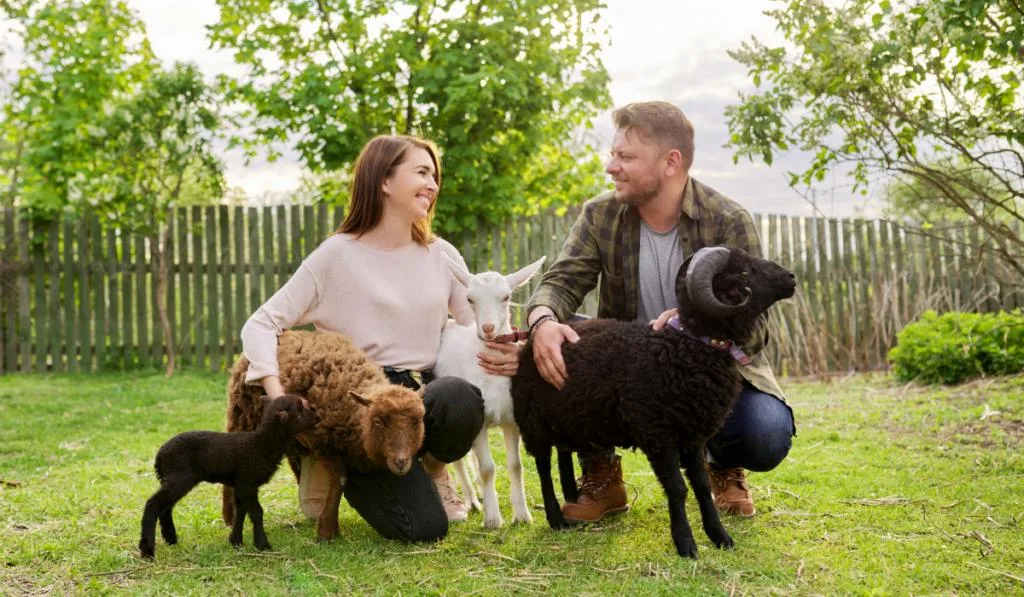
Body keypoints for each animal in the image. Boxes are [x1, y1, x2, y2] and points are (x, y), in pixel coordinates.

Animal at [138, 395, 315, 557]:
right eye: (299, 414)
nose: (316, 416)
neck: (262, 445)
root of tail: (159, 456)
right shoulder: (247, 482)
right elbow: (257, 512)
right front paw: (262, 544)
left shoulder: (241, 485)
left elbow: (241, 511)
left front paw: (236, 541)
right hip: (179, 478)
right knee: (153, 503)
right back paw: (147, 550)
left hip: (173, 479)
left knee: (166, 507)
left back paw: (171, 539)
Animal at [224, 329, 428, 544]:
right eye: (378, 421)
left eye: (418, 420)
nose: (401, 462)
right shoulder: (325, 444)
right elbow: (339, 482)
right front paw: (327, 531)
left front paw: (327, 525)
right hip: (242, 418)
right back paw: (230, 517)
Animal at [436, 251, 548, 528]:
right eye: (470, 299)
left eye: (506, 297)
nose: (487, 328)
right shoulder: (480, 422)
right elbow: (488, 468)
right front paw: (493, 520)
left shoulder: (511, 419)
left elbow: (515, 465)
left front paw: (522, 515)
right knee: (459, 461)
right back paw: (473, 503)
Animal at [516, 243, 794, 561]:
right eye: (746, 271)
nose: (791, 277)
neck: (689, 347)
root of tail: (534, 339)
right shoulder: (658, 434)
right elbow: (678, 489)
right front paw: (685, 543)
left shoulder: (693, 436)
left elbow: (701, 486)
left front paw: (720, 536)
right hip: (533, 424)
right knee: (543, 468)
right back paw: (556, 518)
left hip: (569, 419)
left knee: (564, 454)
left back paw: (574, 499)